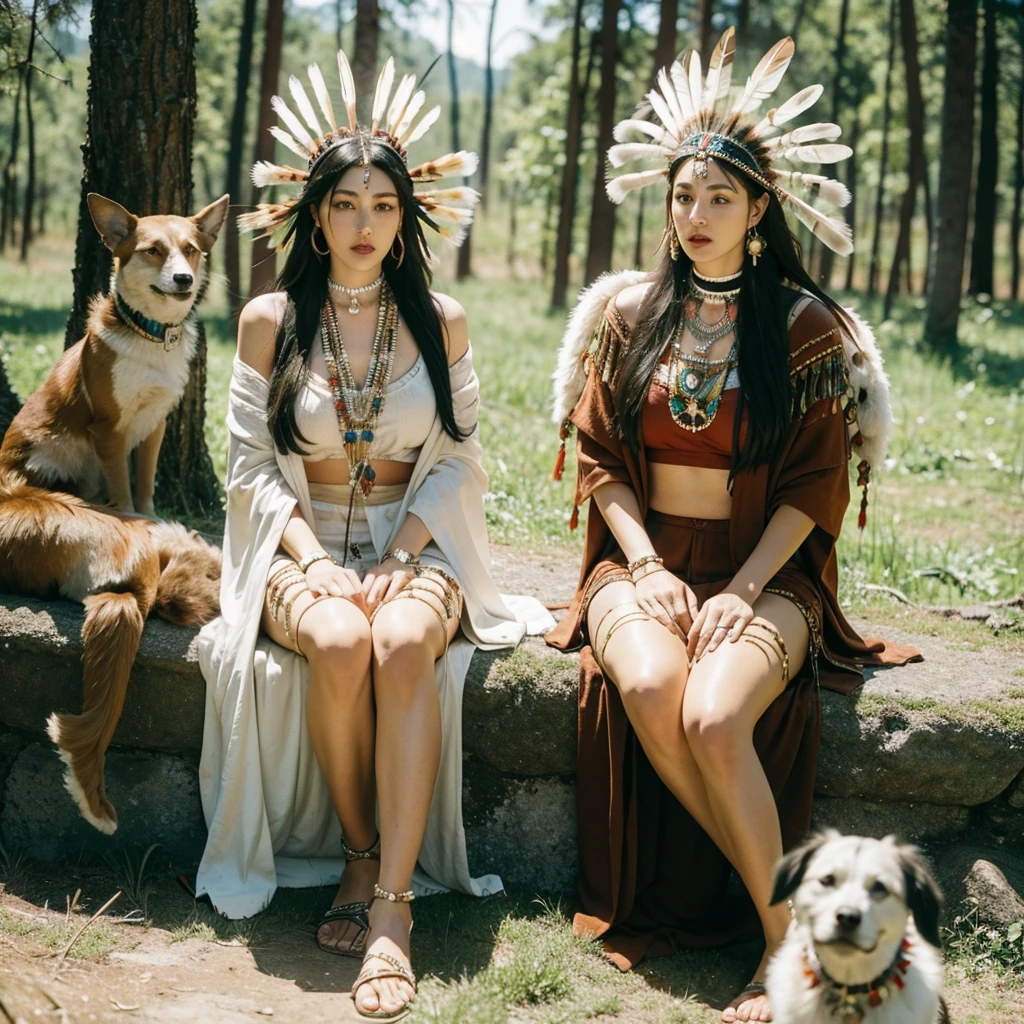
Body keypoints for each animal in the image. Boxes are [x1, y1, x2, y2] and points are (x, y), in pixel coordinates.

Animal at [0, 191, 228, 516]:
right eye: (153, 250)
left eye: (190, 249)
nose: (184, 279)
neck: (150, 332)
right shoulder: (109, 429)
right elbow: (122, 491)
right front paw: (134, 519)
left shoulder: (155, 424)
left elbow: (145, 485)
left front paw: (151, 517)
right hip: (51, 455)